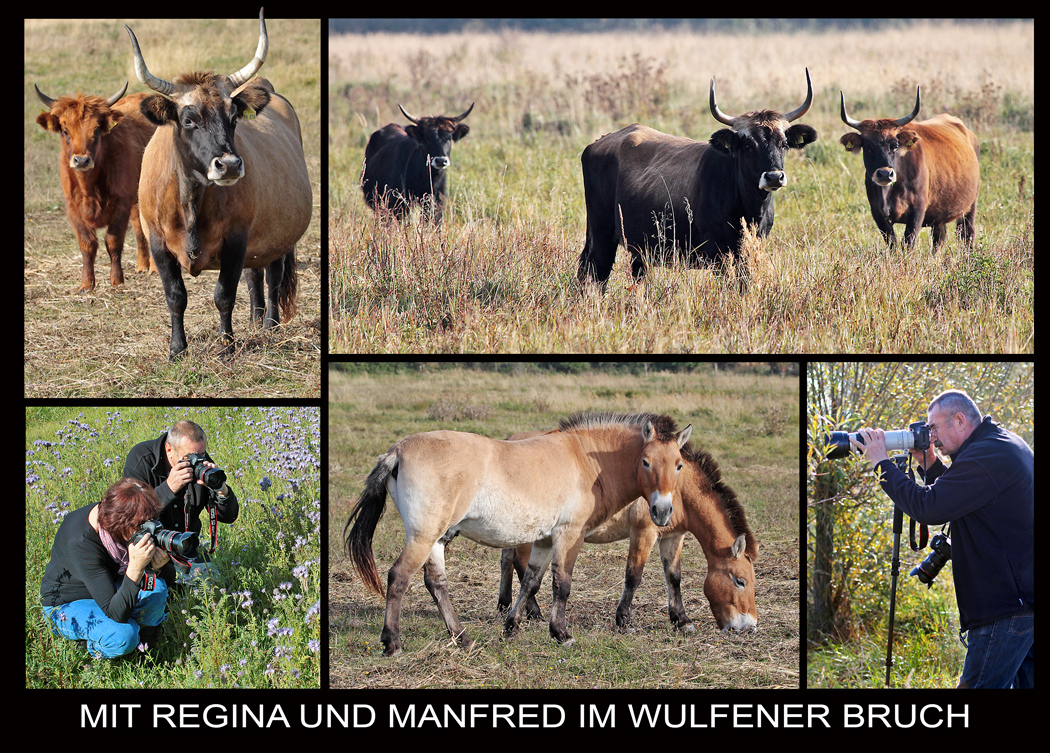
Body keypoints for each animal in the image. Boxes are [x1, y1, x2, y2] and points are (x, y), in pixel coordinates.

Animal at [124, 10, 308, 359]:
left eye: (233, 117)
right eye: (188, 120)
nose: (231, 165)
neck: (191, 202)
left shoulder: (236, 239)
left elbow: (224, 294)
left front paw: (226, 343)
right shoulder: (157, 243)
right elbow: (175, 296)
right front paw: (177, 348)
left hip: (278, 234)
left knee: (273, 276)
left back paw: (269, 325)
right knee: (255, 273)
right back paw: (255, 320)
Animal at [344, 407, 688, 655]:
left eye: (679, 465)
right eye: (646, 462)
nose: (662, 511)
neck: (586, 460)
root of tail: (397, 452)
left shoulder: (544, 540)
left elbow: (532, 582)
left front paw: (511, 627)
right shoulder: (569, 535)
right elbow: (562, 585)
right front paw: (561, 634)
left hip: (436, 539)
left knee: (436, 583)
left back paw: (463, 638)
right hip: (423, 536)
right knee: (399, 577)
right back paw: (392, 642)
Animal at [497, 428, 755, 630]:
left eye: (679, 465)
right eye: (740, 581)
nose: (749, 627)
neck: (679, 491)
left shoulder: (673, 537)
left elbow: (674, 577)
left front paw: (682, 620)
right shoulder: (644, 532)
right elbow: (633, 576)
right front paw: (623, 619)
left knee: (507, 561)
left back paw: (504, 604)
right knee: (521, 565)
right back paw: (533, 611)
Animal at [579, 68, 814, 285]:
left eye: (783, 144)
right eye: (748, 145)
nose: (774, 177)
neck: (749, 208)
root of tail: (599, 142)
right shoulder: (718, 254)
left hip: (638, 248)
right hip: (602, 235)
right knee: (595, 272)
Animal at [839, 87, 978, 253]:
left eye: (895, 145)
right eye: (867, 147)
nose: (885, 174)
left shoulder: (917, 212)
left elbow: (908, 243)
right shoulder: (878, 214)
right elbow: (892, 243)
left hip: (970, 207)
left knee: (967, 234)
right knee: (939, 237)